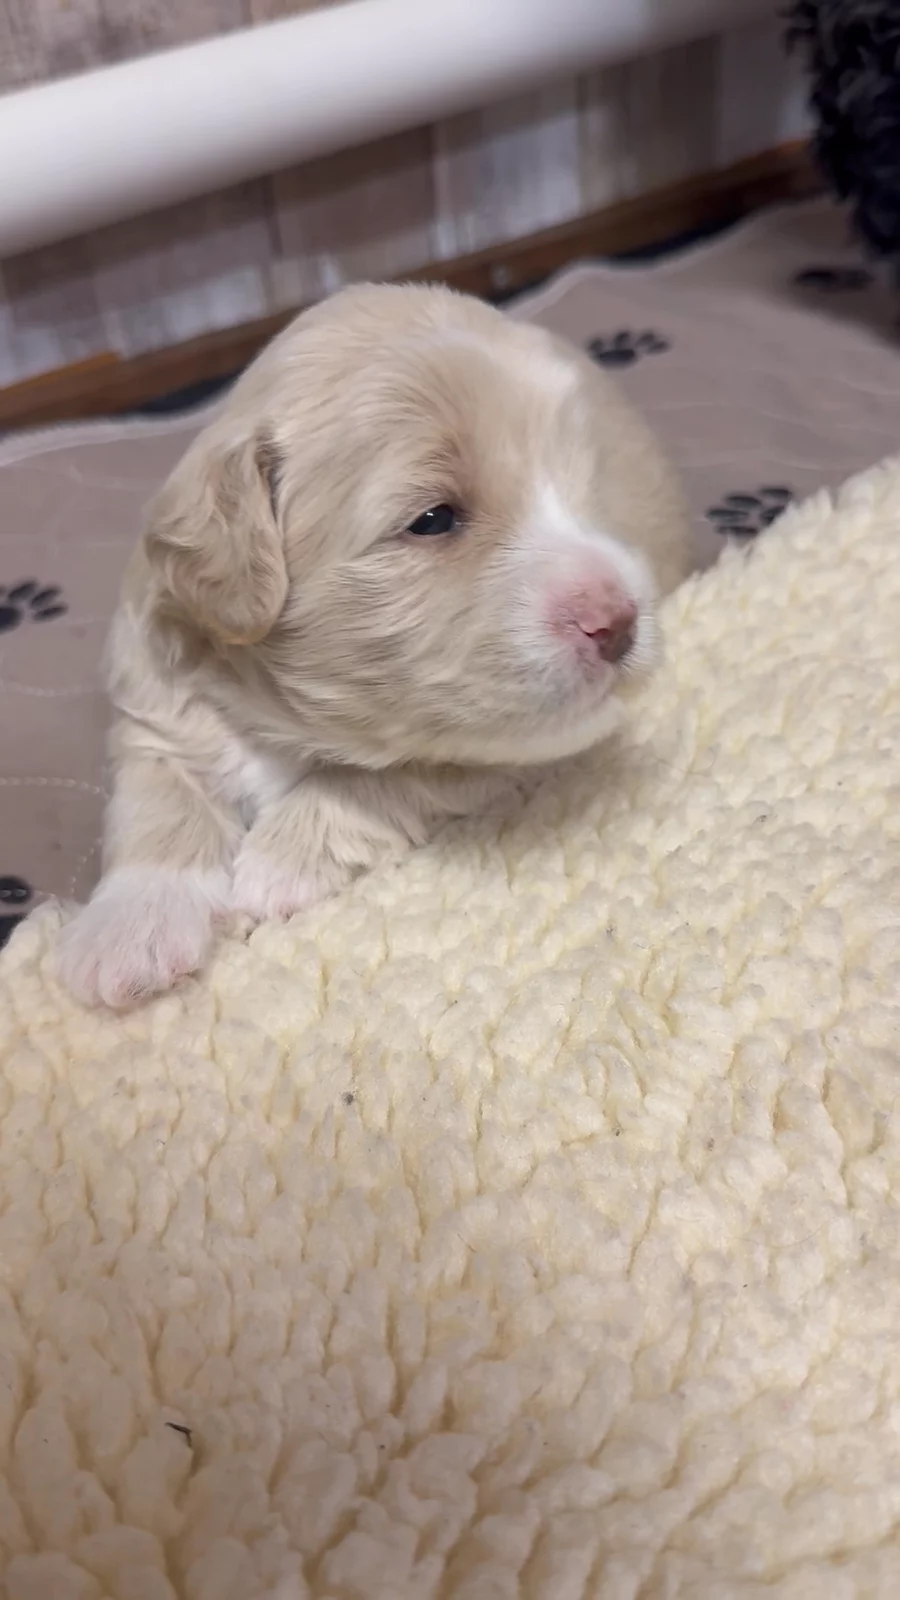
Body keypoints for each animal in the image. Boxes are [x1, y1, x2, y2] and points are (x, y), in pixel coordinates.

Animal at [56, 282, 695, 1008]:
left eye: (587, 491)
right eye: (433, 519)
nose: (618, 622)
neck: (280, 716)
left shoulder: (517, 750)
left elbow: (383, 776)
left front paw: (278, 862)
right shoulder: (151, 706)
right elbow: (155, 801)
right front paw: (131, 929)